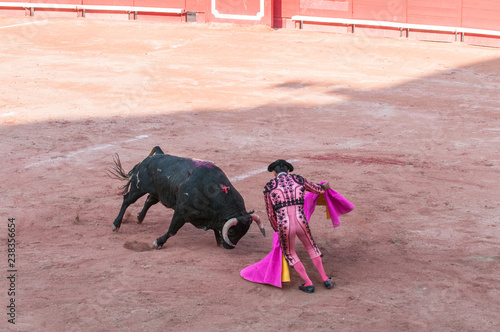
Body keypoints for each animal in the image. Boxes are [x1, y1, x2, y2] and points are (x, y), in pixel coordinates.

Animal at [109, 146, 266, 249]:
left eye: (244, 232)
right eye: (232, 231)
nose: (230, 247)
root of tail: (154, 156)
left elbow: (217, 229)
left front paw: (219, 240)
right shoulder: (181, 213)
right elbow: (172, 230)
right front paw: (158, 242)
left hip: (159, 192)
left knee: (149, 200)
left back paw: (139, 218)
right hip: (138, 187)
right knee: (127, 200)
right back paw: (116, 224)